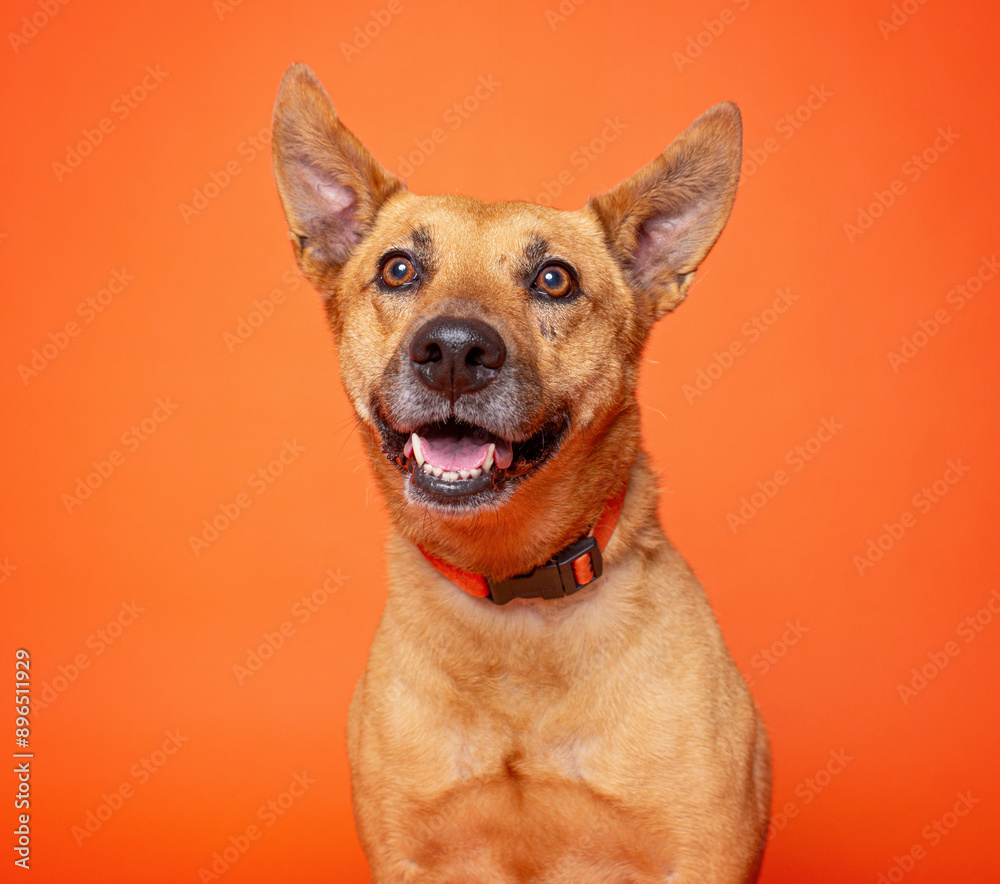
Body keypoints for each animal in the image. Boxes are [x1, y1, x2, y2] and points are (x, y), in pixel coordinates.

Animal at [270, 64, 768, 884]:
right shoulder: (407, 854)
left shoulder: (703, 854)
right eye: (398, 268)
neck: (515, 601)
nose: (453, 352)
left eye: (554, 279)